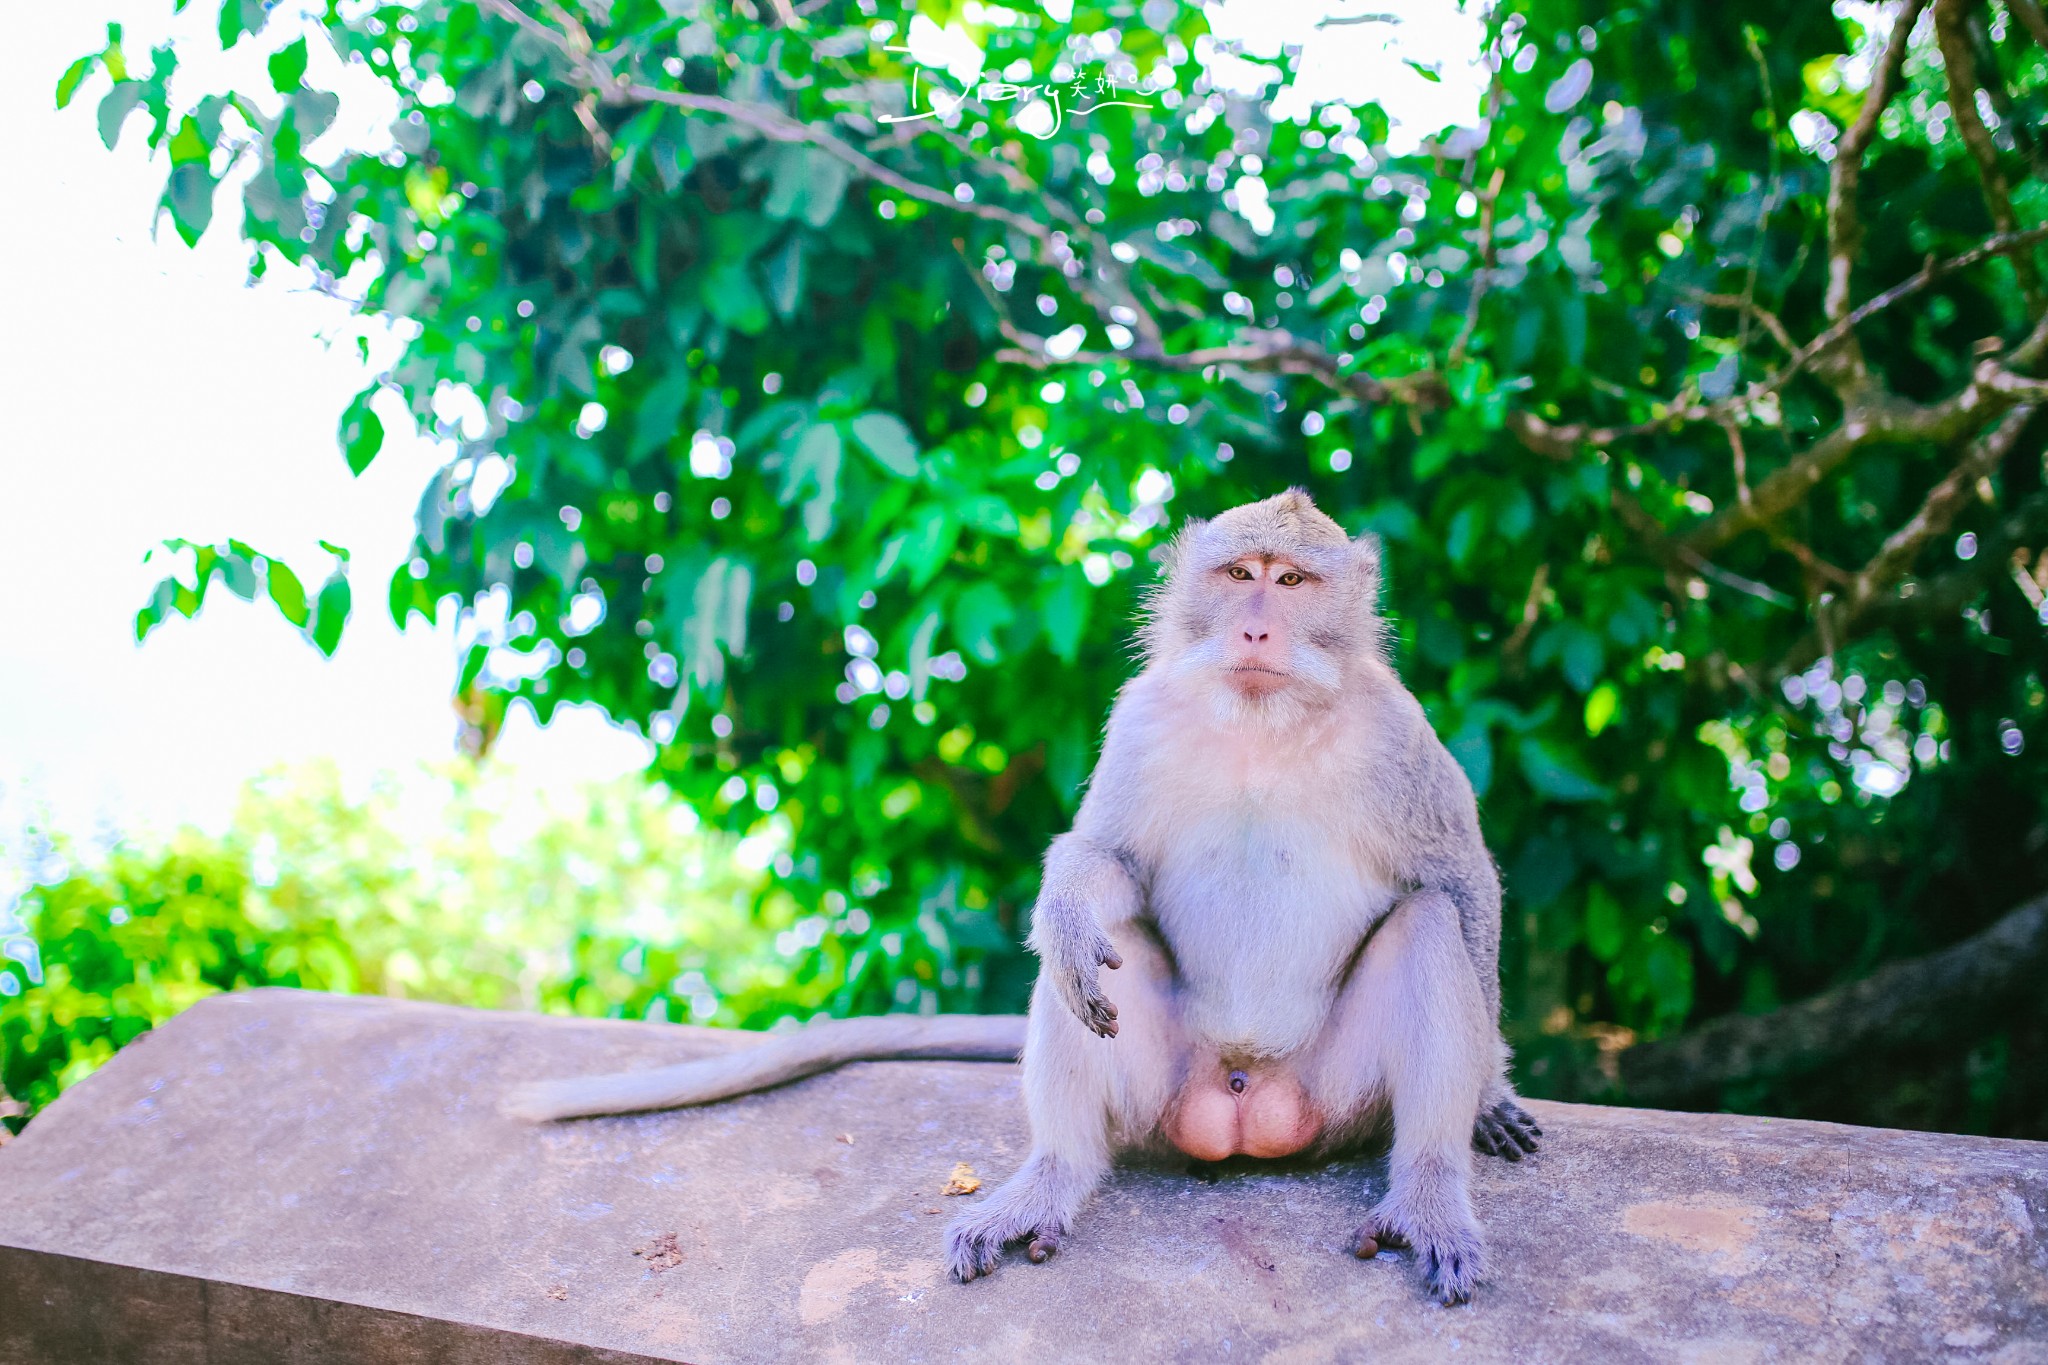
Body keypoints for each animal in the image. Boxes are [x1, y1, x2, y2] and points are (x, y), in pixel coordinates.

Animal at [512, 493, 1540, 1309]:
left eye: (1292, 582)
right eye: (1240, 574)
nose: (1254, 627)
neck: (1261, 718)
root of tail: (1248, 1103)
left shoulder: (1396, 732)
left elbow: (1459, 879)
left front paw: (1491, 1092)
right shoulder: (1141, 714)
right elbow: (1107, 862)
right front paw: (1070, 910)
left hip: (1338, 1092)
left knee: (1429, 928)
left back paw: (1429, 1193)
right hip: (1165, 1086)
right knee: (1094, 971)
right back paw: (1050, 1177)